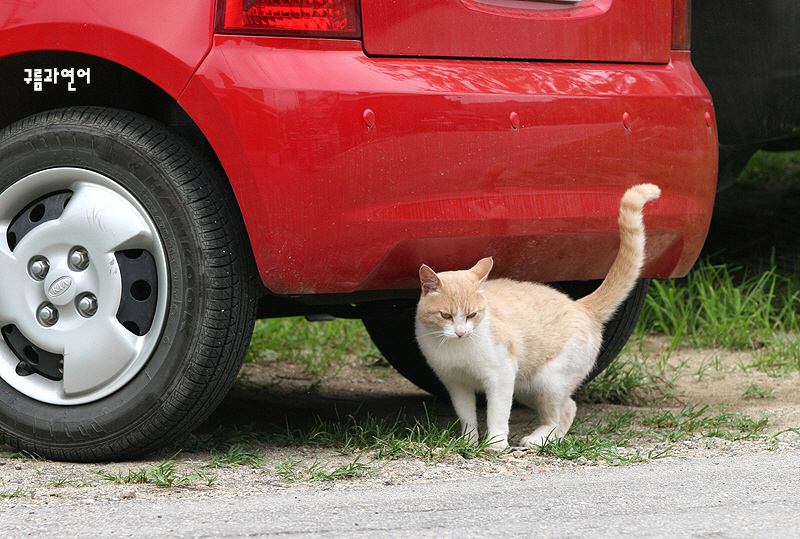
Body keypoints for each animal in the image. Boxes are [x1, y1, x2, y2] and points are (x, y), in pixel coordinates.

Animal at [416, 184, 660, 450]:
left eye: (472, 314)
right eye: (446, 315)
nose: (461, 332)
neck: (458, 349)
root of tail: (580, 306)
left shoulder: (501, 376)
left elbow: (497, 413)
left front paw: (496, 443)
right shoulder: (456, 384)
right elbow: (466, 415)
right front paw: (468, 442)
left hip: (546, 381)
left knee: (562, 412)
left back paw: (539, 439)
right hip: (525, 386)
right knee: (567, 406)